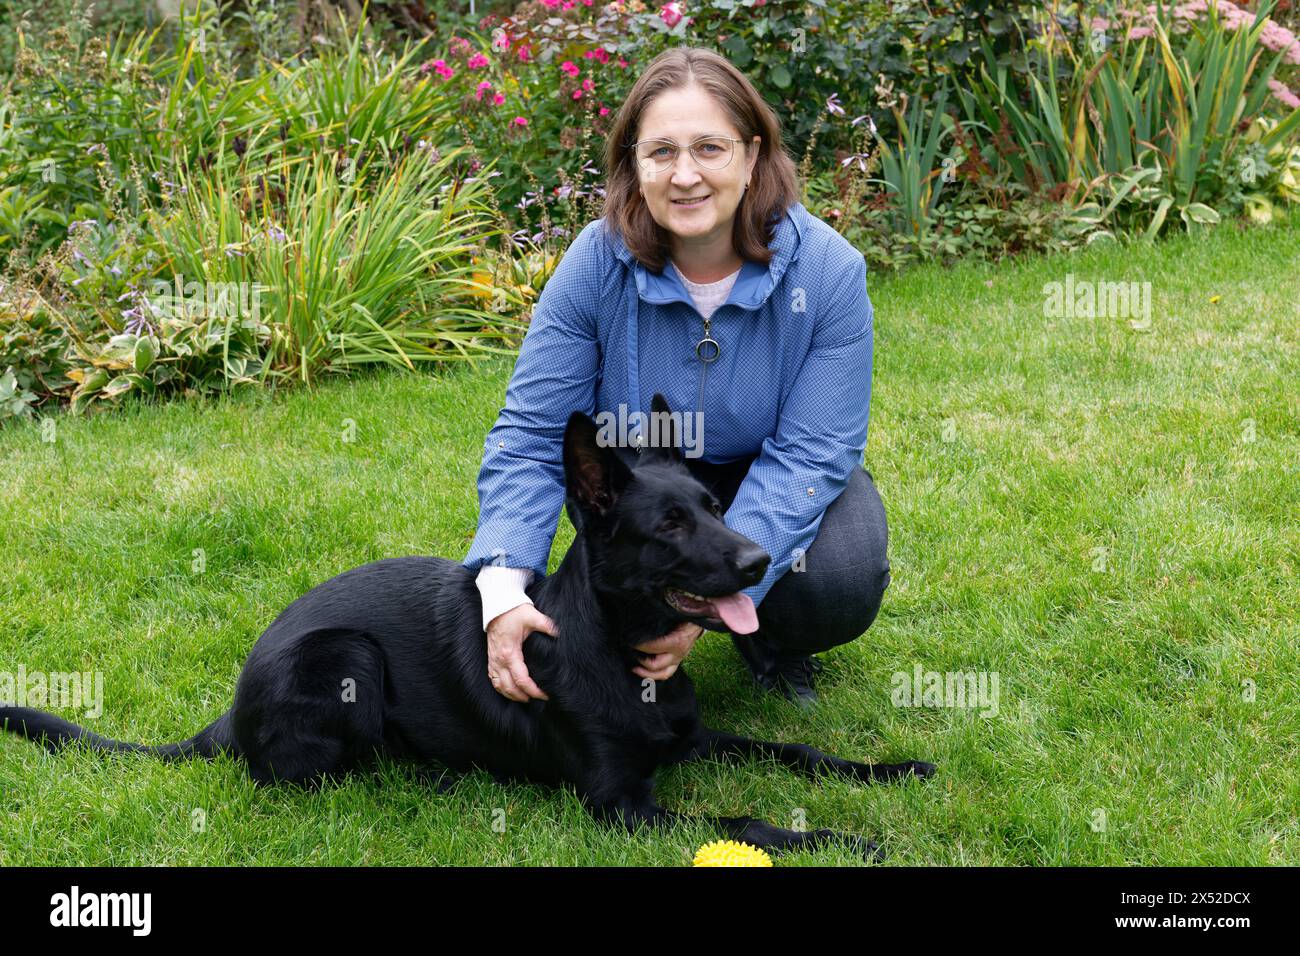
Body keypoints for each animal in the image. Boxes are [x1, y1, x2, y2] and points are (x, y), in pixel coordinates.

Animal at [0, 395, 935, 858]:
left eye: (713, 504)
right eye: (669, 525)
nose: (760, 559)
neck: (614, 652)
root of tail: (229, 715)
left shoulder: (693, 741)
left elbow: (796, 752)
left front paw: (888, 772)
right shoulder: (620, 807)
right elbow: (747, 820)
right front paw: (846, 840)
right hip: (345, 658)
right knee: (305, 780)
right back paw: (434, 778)